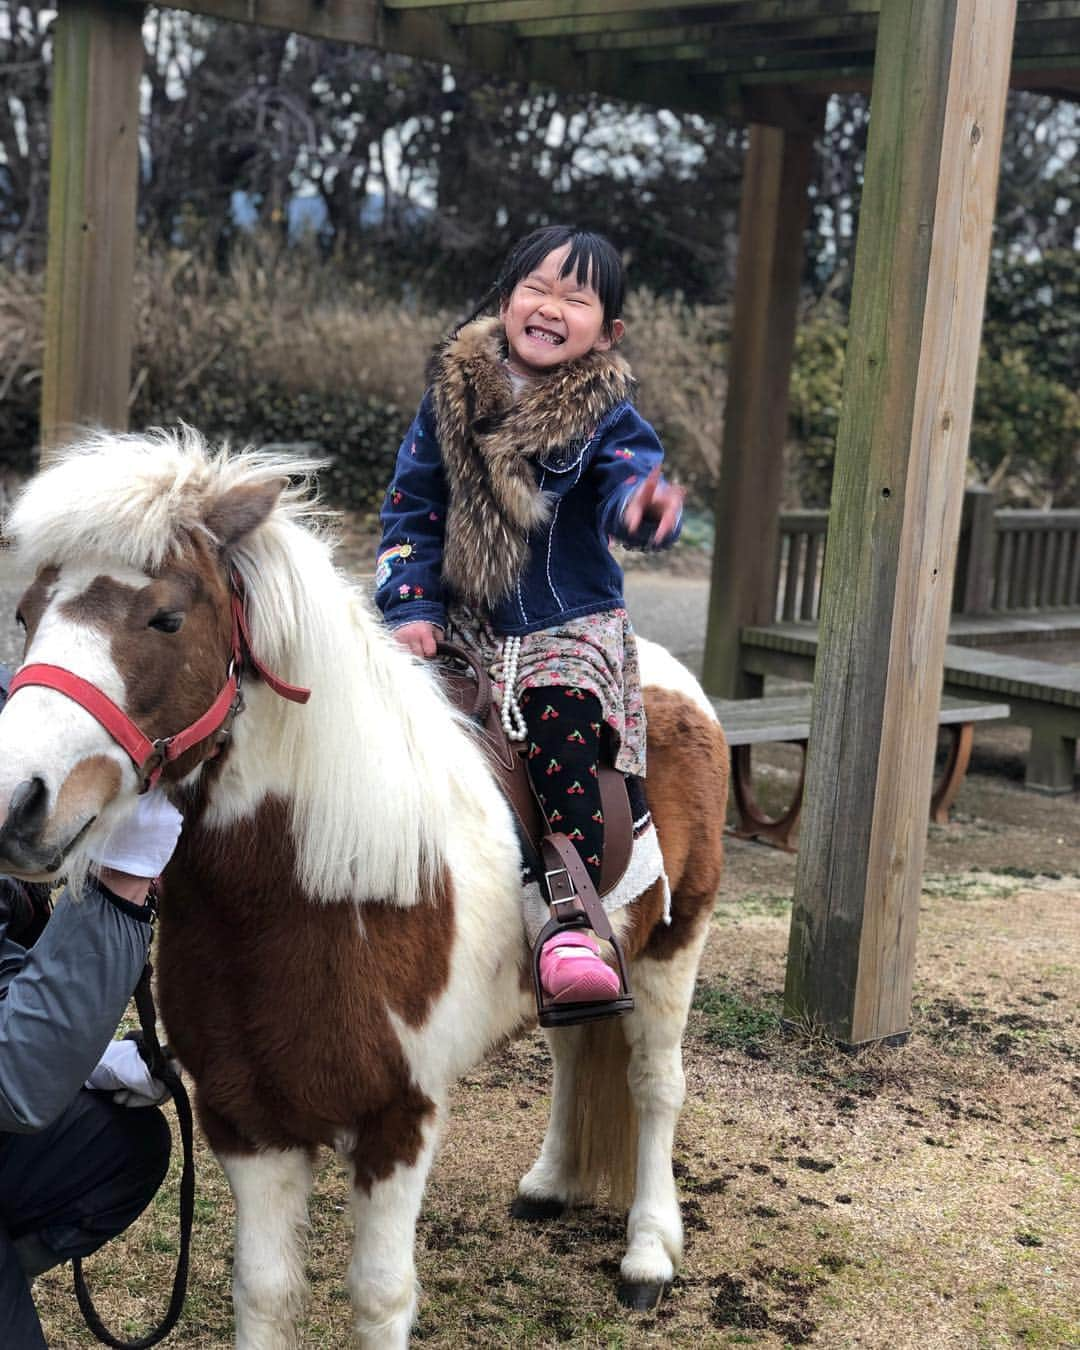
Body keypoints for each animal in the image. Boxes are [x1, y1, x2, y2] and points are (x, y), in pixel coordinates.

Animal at [0, 432, 729, 1350]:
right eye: (26, 615)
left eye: (166, 618)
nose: (14, 800)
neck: (308, 894)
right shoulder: (246, 1123)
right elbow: (265, 1291)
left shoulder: (398, 1122)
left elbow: (379, 1296)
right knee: (572, 1048)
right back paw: (551, 1182)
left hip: (676, 946)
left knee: (655, 1087)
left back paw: (649, 1254)